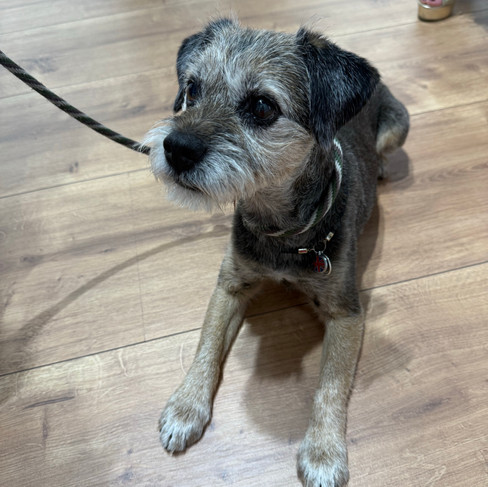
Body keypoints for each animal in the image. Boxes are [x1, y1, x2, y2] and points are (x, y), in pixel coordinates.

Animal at [144, 18, 409, 487]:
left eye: (263, 107)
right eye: (191, 88)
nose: (176, 148)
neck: (279, 227)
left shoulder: (347, 313)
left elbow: (330, 383)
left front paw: (323, 452)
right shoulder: (230, 285)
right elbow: (206, 343)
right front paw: (185, 407)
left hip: (399, 126)